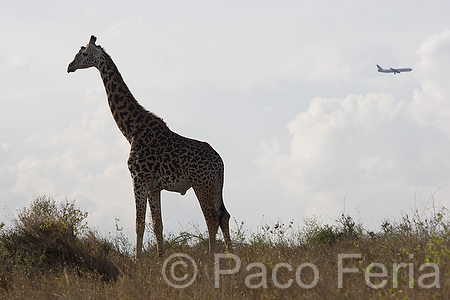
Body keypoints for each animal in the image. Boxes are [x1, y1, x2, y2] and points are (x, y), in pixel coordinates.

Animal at [68, 35, 234, 258]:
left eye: (84, 53)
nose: (69, 66)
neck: (131, 130)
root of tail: (220, 163)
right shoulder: (154, 187)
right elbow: (157, 225)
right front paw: (160, 259)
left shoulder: (138, 178)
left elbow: (139, 223)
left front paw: (137, 261)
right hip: (216, 185)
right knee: (224, 215)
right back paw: (230, 258)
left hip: (201, 184)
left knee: (211, 218)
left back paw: (211, 259)